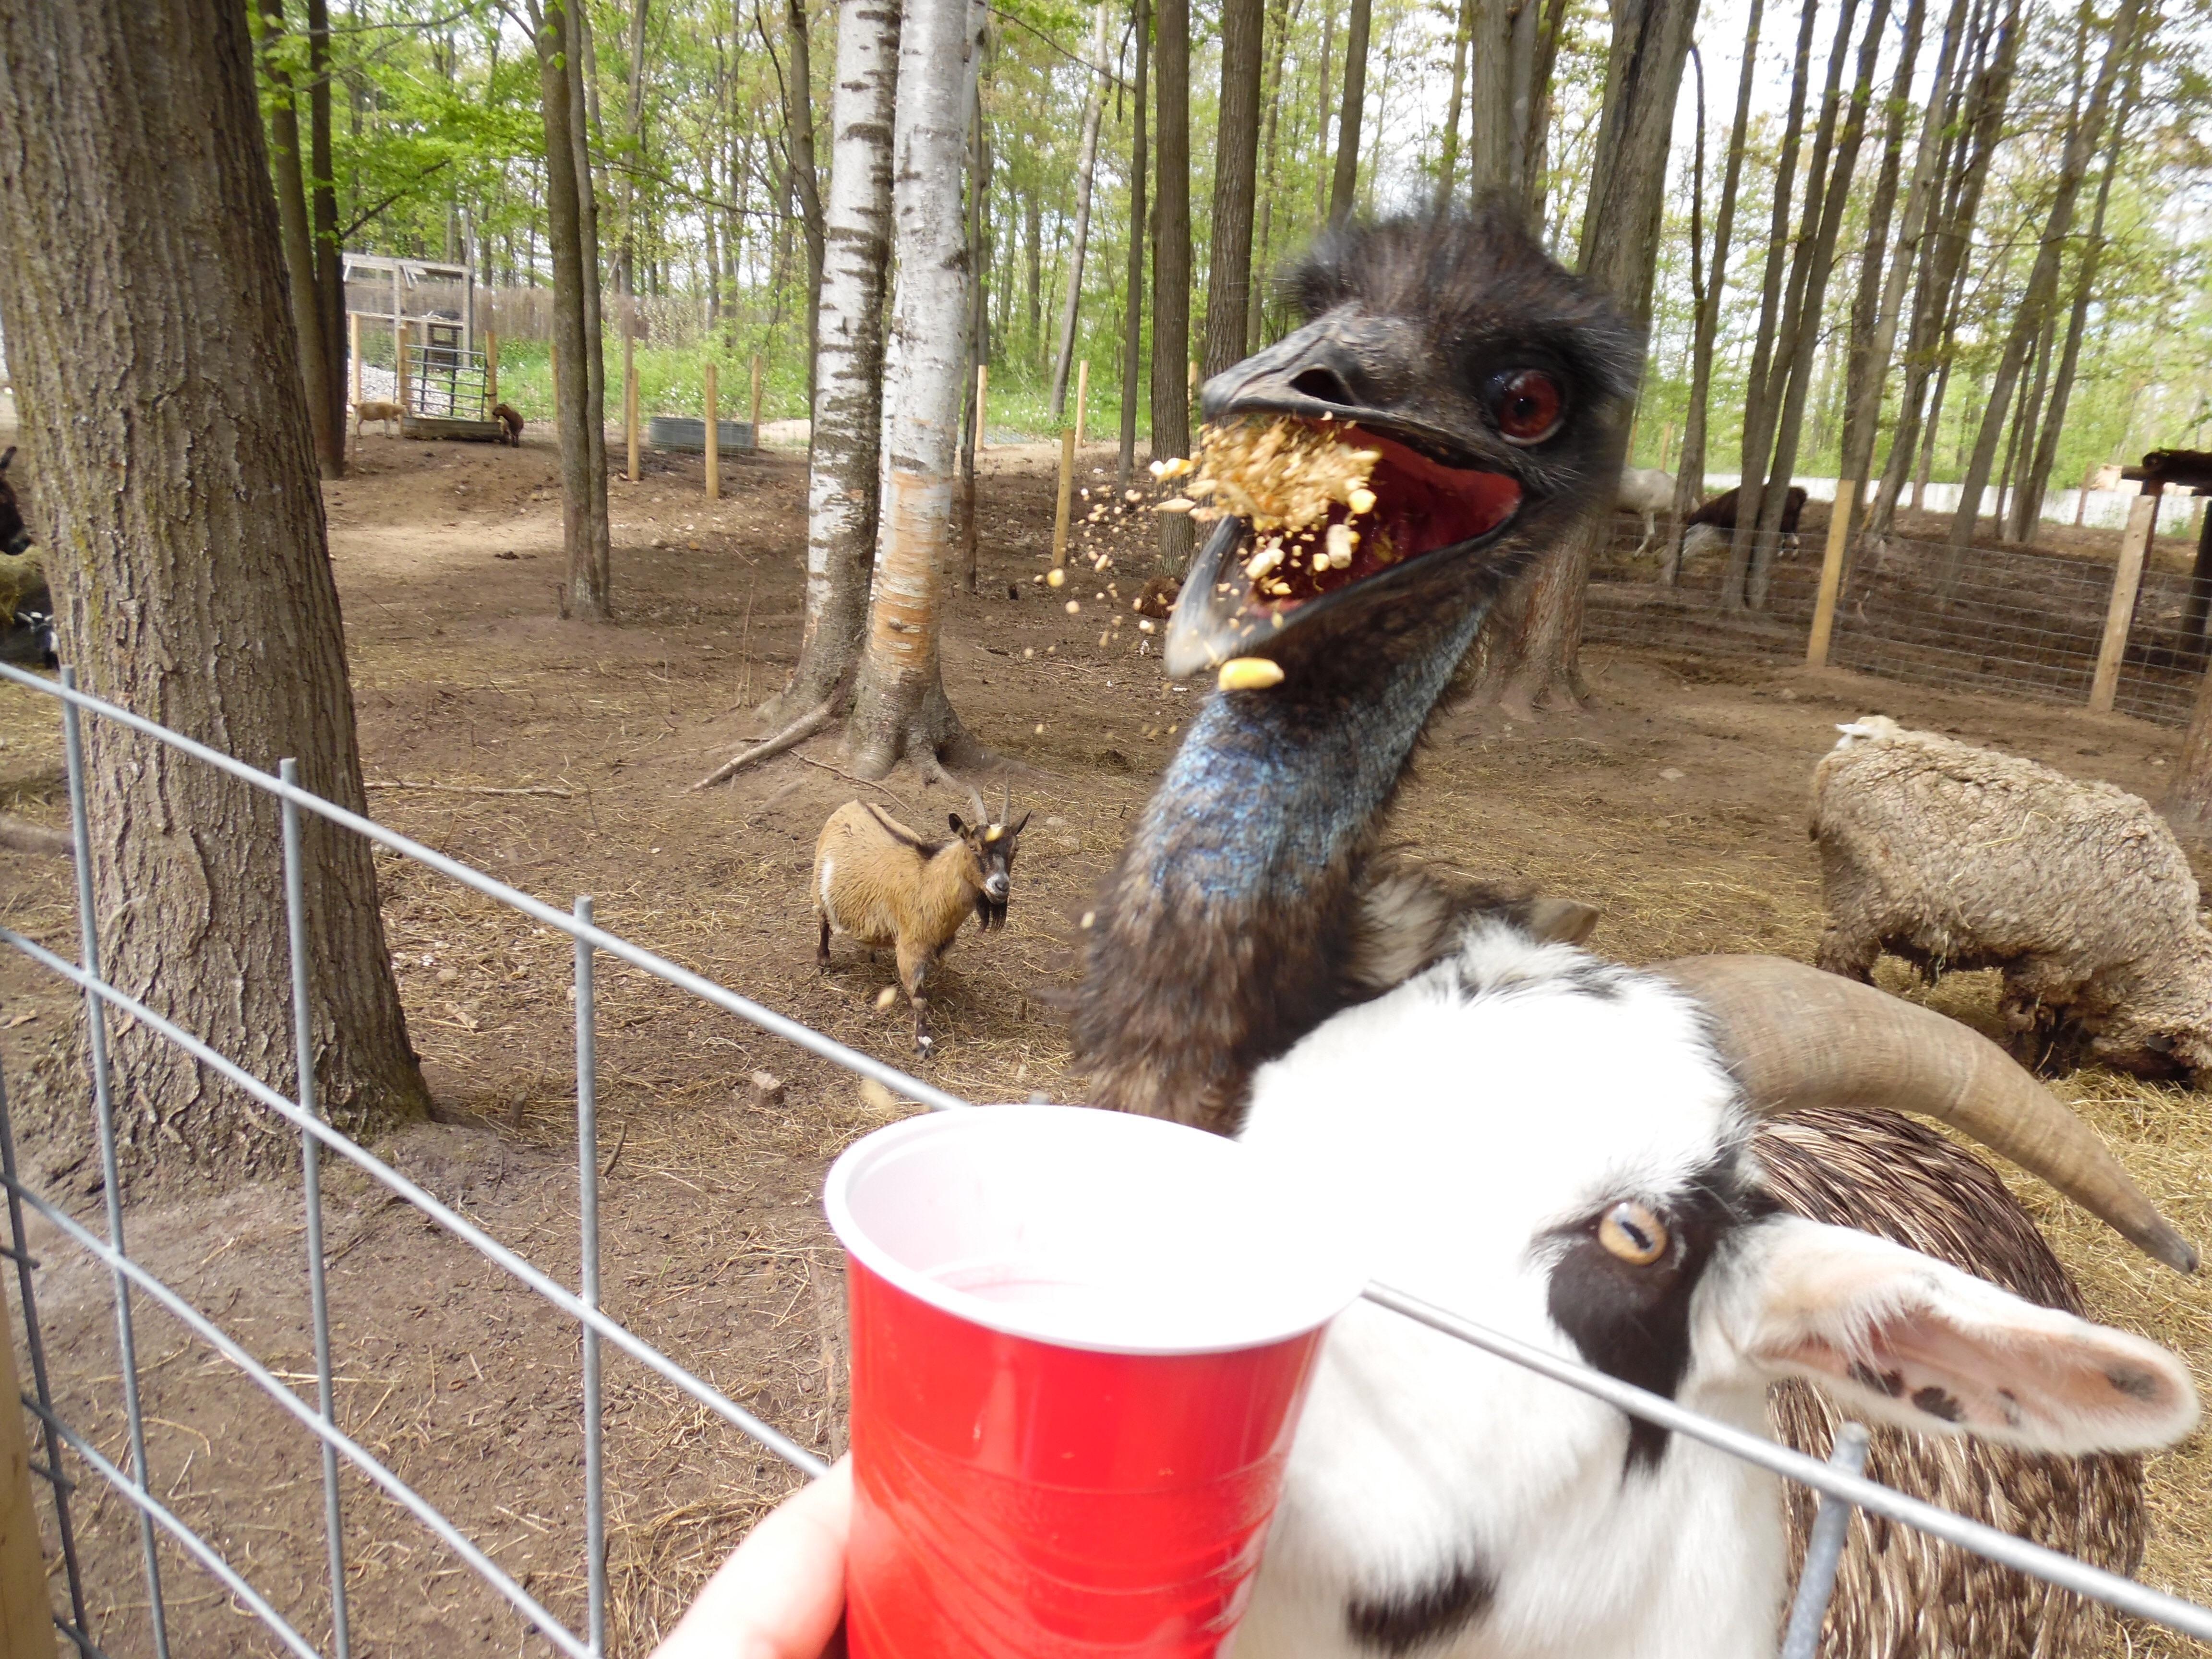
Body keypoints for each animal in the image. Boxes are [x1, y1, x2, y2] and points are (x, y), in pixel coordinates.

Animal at [1814, 716, 2212, 1083]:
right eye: (2180, 1064)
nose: (2180, 1089)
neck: (2155, 947)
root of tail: (1863, 740)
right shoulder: (2053, 964)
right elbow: (2031, 1020)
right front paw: (2033, 1063)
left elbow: (2064, 1024)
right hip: (1863, 896)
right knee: (1840, 957)